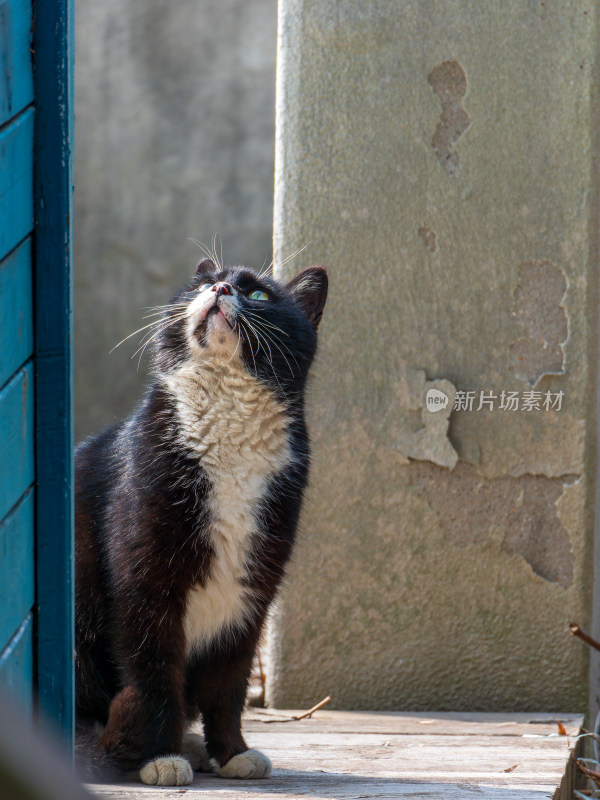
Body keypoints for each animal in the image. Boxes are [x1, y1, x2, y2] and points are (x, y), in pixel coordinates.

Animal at [76, 260, 328, 784]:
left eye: (259, 293)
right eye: (203, 283)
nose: (221, 286)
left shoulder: (252, 593)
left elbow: (228, 685)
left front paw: (232, 753)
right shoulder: (144, 586)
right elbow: (154, 677)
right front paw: (161, 757)